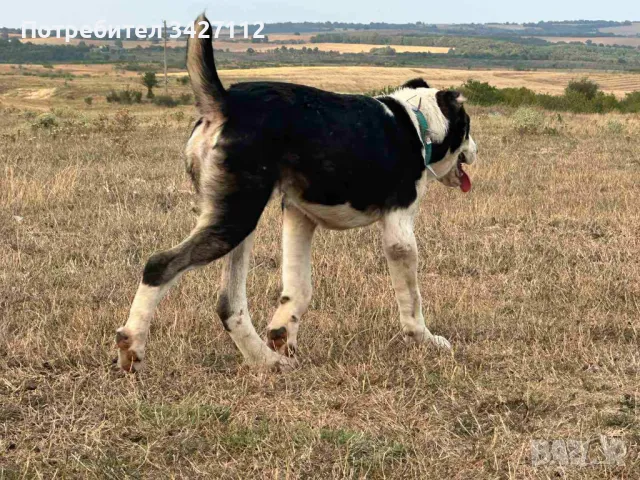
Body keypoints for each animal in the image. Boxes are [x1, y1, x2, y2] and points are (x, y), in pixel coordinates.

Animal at [114, 14, 476, 372]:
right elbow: (411, 299)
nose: (476, 150)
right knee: (159, 265)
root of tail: (224, 102)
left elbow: (298, 288)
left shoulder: (298, 214)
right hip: (235, 220)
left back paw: (265, 359)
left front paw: (282, 334)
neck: (416, 123)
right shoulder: (399, 231)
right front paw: (425, 339)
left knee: (228, 304)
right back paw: (132, 344)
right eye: (468, 127)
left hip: (239, 220)